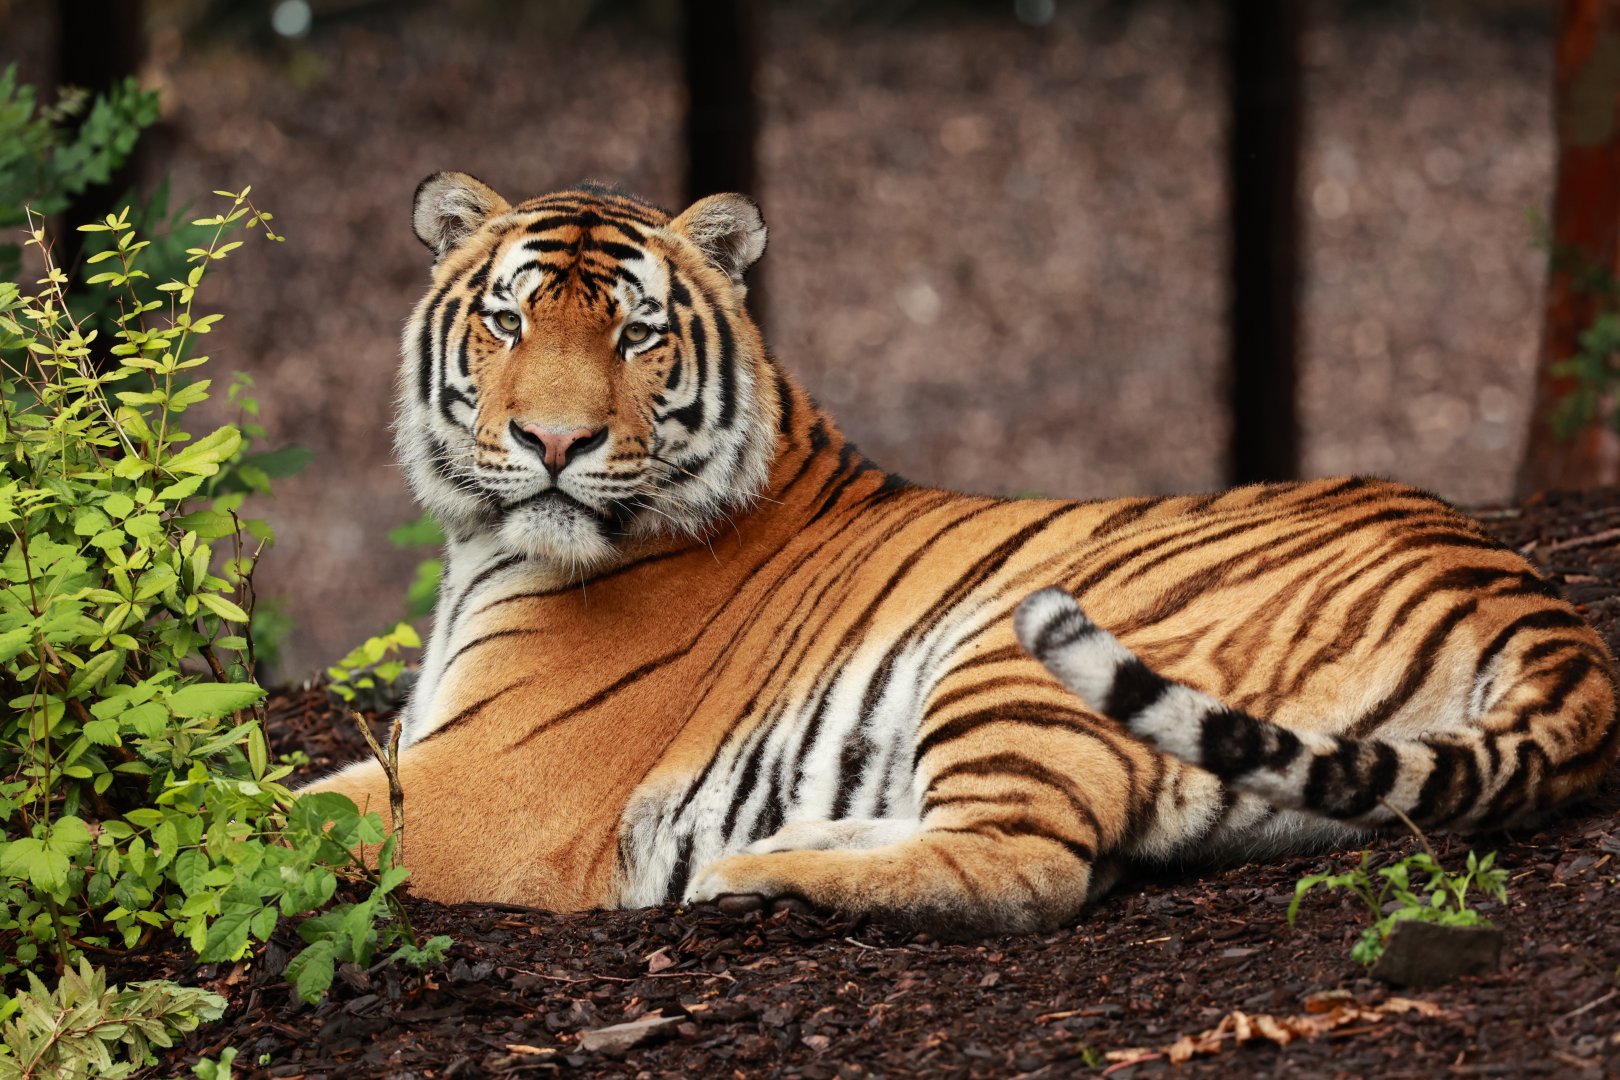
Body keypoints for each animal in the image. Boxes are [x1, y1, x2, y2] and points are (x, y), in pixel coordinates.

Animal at [310, 172, 1620, 935]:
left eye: (635, 333)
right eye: (508, 321)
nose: (555, 442)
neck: (490, 548)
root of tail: (1534, 600)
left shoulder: (484, 790)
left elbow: (282, 811)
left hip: (1013, 650)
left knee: (1032, 872)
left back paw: (748, 876)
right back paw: (770, 846)